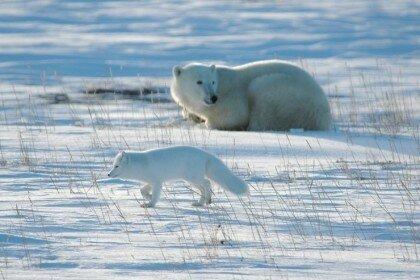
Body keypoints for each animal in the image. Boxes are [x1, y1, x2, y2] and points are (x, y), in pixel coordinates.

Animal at [106, 147, 249, 208]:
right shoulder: (151, 182)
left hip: (193, 178)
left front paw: (150, 203)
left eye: (117, 166)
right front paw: (148, 197)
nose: (108, 174)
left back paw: (207, 200)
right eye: (113, 166)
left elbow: (155, 195)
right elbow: (142, 190)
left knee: (207, 183)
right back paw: (200, 202)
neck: (142, 165)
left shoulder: (157, 182)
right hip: (191, 180)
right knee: (204, 187)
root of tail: (205, 154)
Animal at [170, 59, 332, 131]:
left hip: (286, 94)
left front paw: (207, 122)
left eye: (213, 82)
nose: (213, 97)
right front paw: (192, 117)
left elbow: (235, 115)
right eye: (199, 82)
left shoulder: (233, 98)